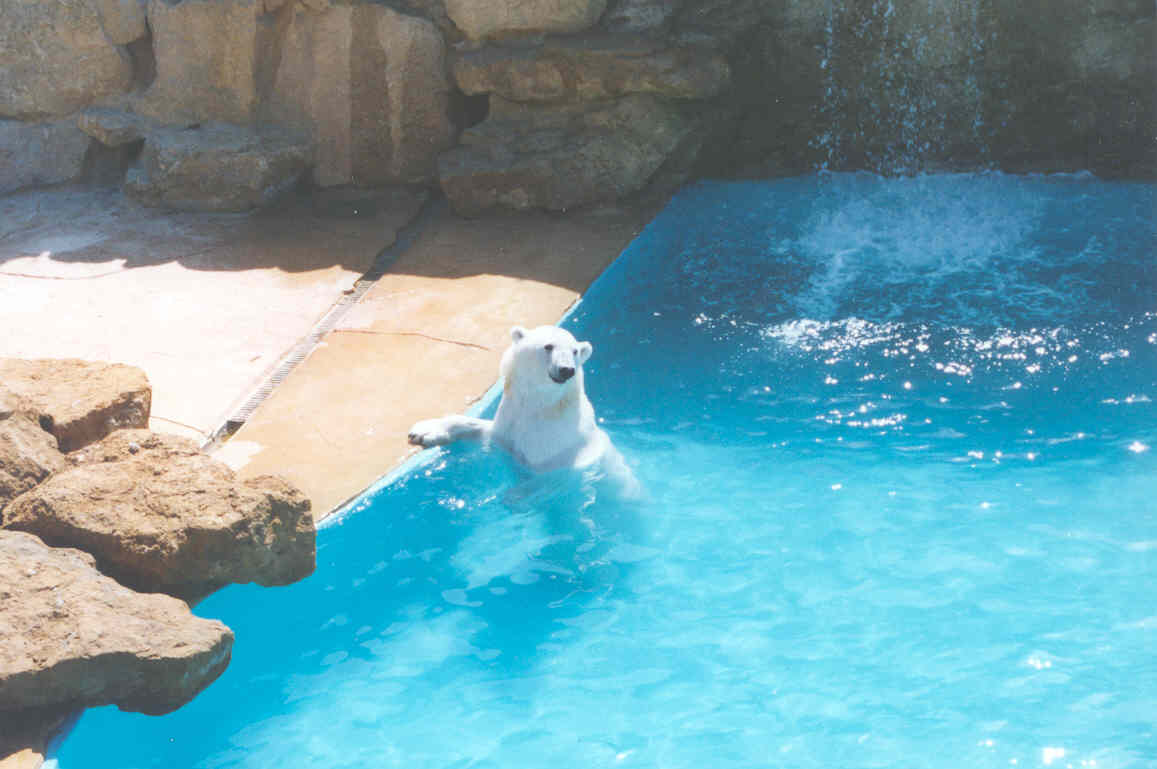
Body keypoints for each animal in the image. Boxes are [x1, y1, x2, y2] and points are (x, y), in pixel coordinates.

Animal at [407, 325, 630, 480]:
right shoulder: (512, 418)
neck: (542, 405)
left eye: (574, 351)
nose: (567, 369)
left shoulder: (552, 447)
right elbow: (492, 433)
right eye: (548, 346)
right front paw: (423, 431)